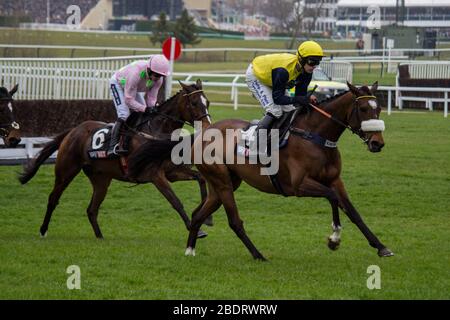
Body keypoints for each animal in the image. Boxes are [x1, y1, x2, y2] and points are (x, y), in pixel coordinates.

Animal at [19, 80, 213, 238]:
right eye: (194, 103)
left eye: (208, 102)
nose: (208, 126)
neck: (157, 131)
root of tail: (73, 130)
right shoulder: (155, 175)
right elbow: (176, 201)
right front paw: (196, 229)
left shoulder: (171, 172)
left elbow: (201, 178)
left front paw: (207, 217)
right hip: (66, 171)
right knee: (53, 198)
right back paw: (43, 230)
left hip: (101, 179)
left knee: (92, 209)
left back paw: (100, 237)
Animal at [127, 80, 394, 260]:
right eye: (363, 110)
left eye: (378, 109)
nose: (377, 143)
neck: (315, 136)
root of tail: (201, 134)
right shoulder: (299, 185)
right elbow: (332, 198)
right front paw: (334, 239)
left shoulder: (336, 180)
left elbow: (352, 211)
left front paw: (381, 247)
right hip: (223, 182)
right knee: (234, 221)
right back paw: (258, 255)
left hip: (223, 184)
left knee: (197, 214)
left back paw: (190, 249)